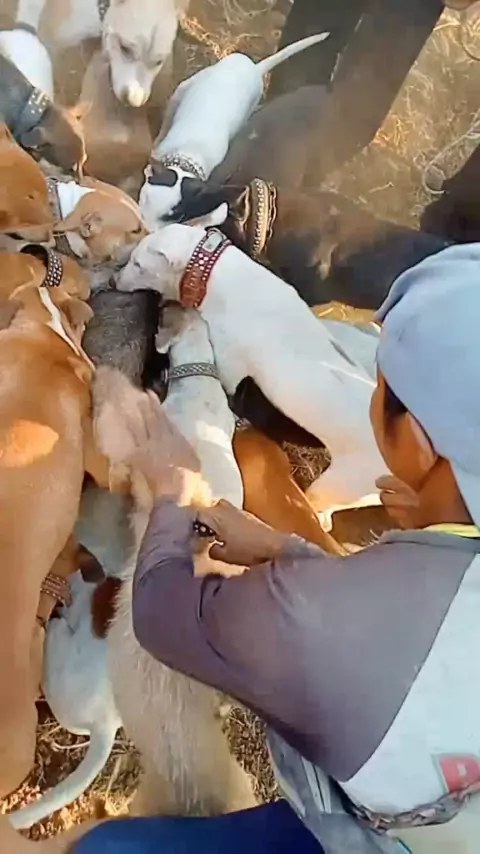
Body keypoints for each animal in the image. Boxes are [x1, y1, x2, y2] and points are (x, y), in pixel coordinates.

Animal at [138, 34, 330, 230]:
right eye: (144, 199)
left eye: (173, 215)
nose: (144, 229)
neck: (187, 154)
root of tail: (254, 68)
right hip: (183, 90)